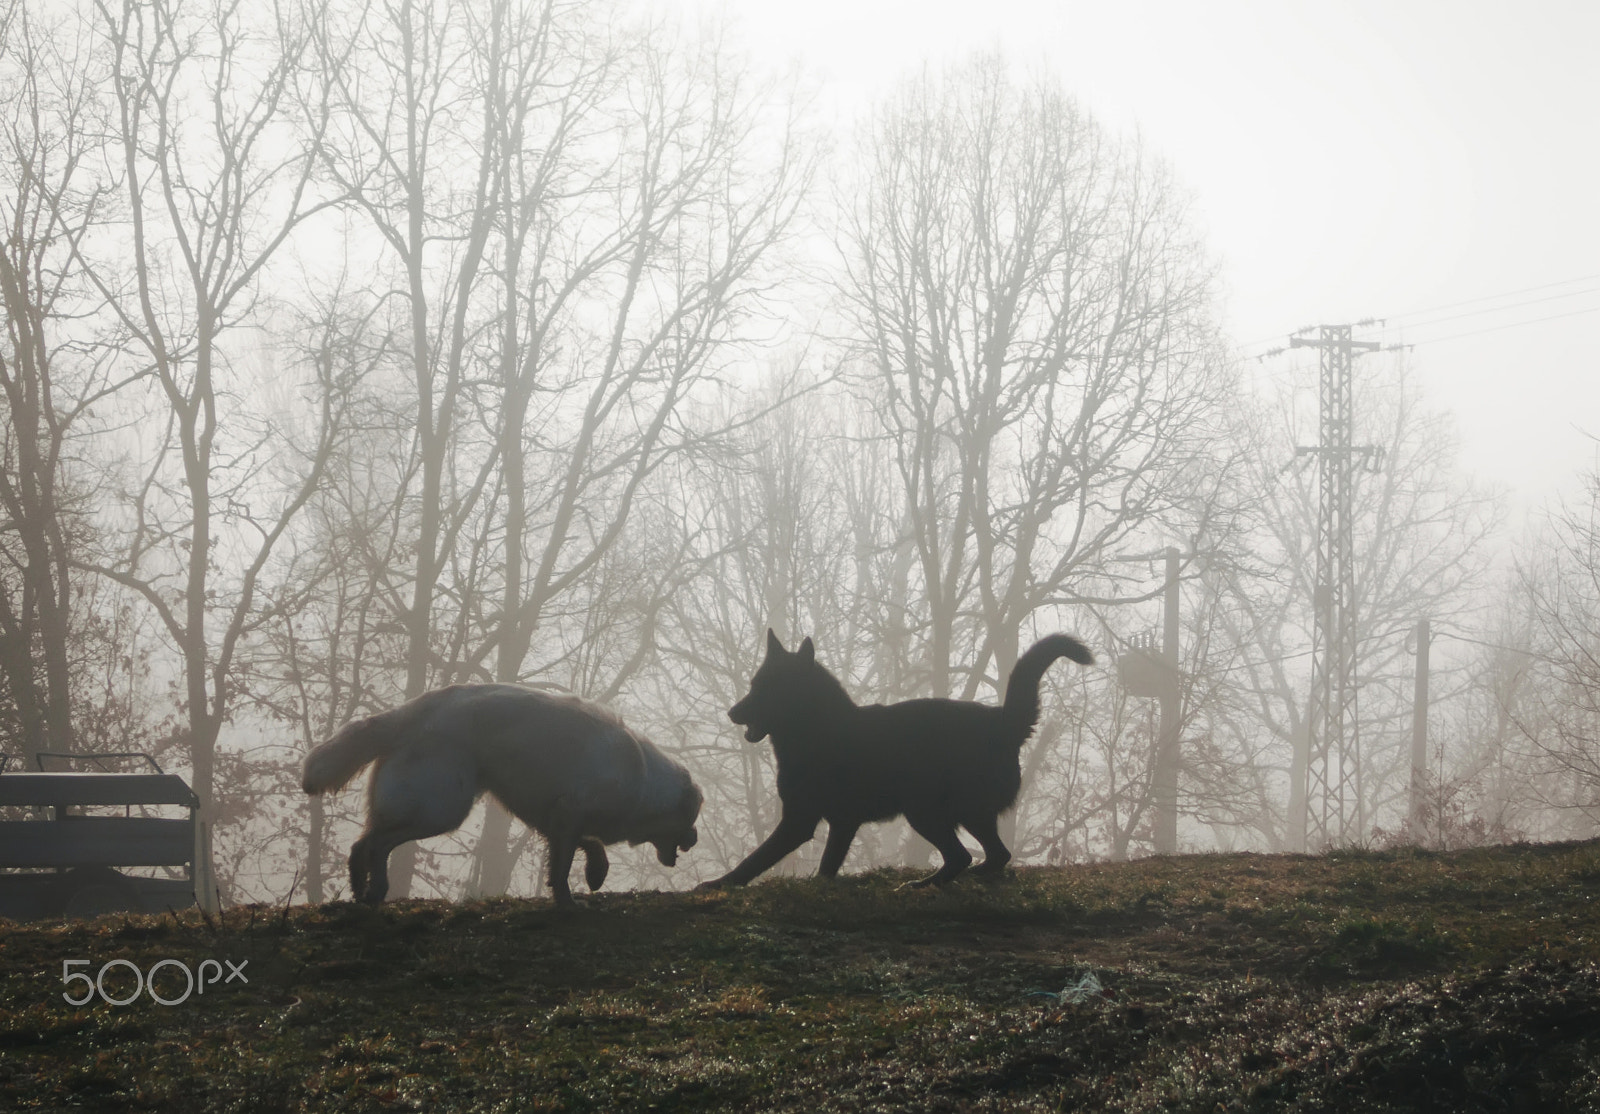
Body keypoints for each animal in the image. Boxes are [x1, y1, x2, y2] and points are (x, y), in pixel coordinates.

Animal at [707, 633, 1094, 889]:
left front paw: (717, 884)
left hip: (925, 810)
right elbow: (827, 864)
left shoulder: (799, 821)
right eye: (754, 684)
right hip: (964, 814)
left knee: (964, 855)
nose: (731, 712)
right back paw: (958, 879)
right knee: (994, 854)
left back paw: (927, 885)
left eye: (767, 687)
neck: (818, 729)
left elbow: (757, 858)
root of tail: (1002, 721)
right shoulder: (842, 823)